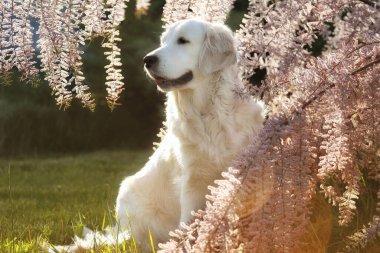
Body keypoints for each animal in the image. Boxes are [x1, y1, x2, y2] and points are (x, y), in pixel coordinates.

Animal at [116, 18, 264, 251]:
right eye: (163, 41)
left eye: (183, 41)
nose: (147, 60)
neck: (209, 113)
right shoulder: (192, 181)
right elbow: (190, 225)